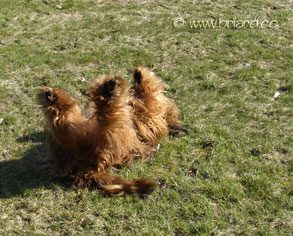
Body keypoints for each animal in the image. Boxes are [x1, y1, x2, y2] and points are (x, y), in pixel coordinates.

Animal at [37, 67, 187, 195]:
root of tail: (83, 167)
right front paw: (138, 74)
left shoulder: (152, 110)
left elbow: (149, 90)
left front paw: (140, 76)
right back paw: (53, 97)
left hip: (107, 133)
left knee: (101, 112)